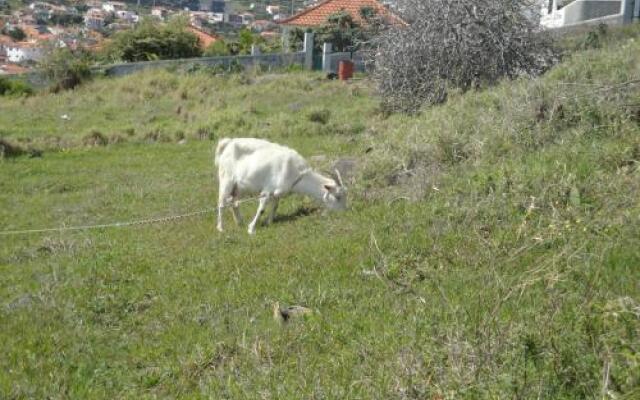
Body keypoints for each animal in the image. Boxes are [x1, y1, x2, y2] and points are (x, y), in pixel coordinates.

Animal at [215, 138, 348, 234]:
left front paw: (269, 223)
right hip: (226, 180)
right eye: (337, 197)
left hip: (239, 187)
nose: (344, 212)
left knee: (234, 202)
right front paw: (251, 229)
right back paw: (221, 228)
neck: (295, 172)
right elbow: (261, 209)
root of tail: (227, 144)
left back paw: (240, 222)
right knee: (221, 203)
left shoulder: (277, 193)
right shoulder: (267, 190)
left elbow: (275, 207)